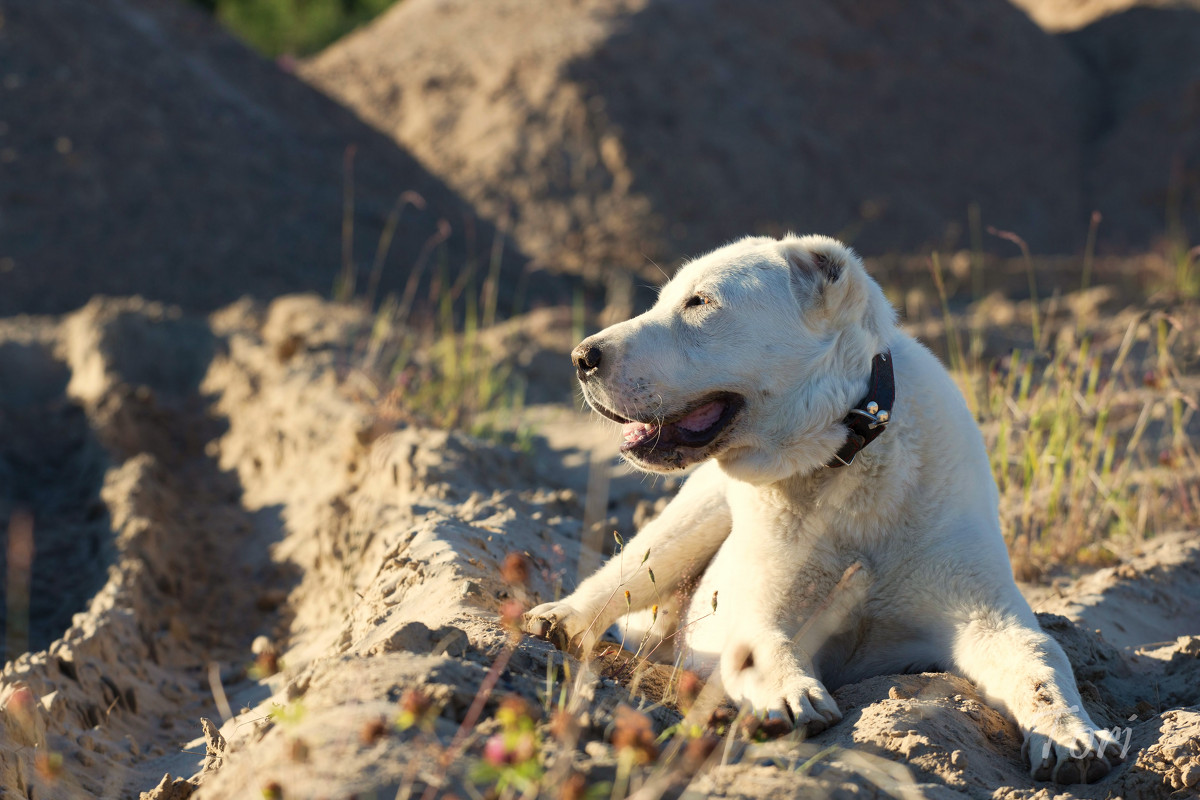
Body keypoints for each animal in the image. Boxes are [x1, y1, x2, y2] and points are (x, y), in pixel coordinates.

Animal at [525, 232, 1123, 782]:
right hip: (691, 521)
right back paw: (557, 622)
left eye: (698, 302)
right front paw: (792, 695)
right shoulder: (766, 598)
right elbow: (763, 639)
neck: (845, 456)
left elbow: (1040, 660)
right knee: (622, 577)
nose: (581, 357)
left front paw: (1072, 735)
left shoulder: (984, 613)